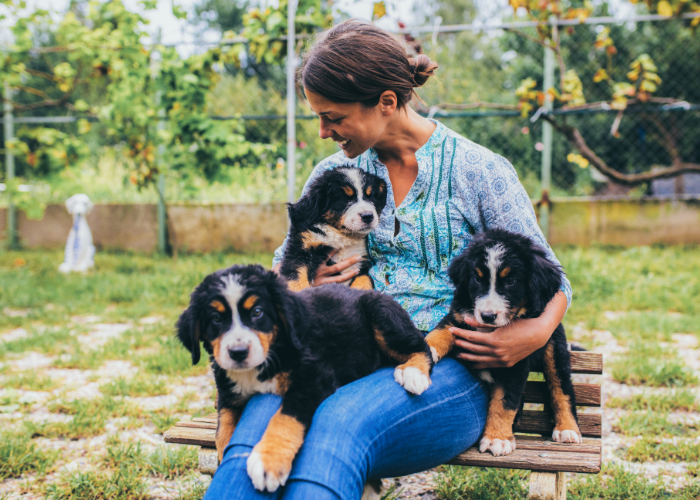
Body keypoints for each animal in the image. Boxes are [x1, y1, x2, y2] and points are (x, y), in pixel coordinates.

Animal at [178, 266, 434, 492]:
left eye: (258, 312)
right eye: (215, 318)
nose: (238, 352)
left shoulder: (314, 377)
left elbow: (285, 418)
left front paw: (269, 461)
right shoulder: (229, 391)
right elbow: (223, 424)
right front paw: (224, 453)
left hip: (381, 314)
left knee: (421, 347)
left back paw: (413, 373)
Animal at [424, 229, 584, 458]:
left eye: (510, 281)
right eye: (476, 279)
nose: (487, 315)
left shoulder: (515, 359)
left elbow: (504, 402)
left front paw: (497, 439)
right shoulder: (458, 317)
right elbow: (440, 332)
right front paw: (417, 359)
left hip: (554, 348)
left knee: (561, 387)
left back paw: (567, 429)